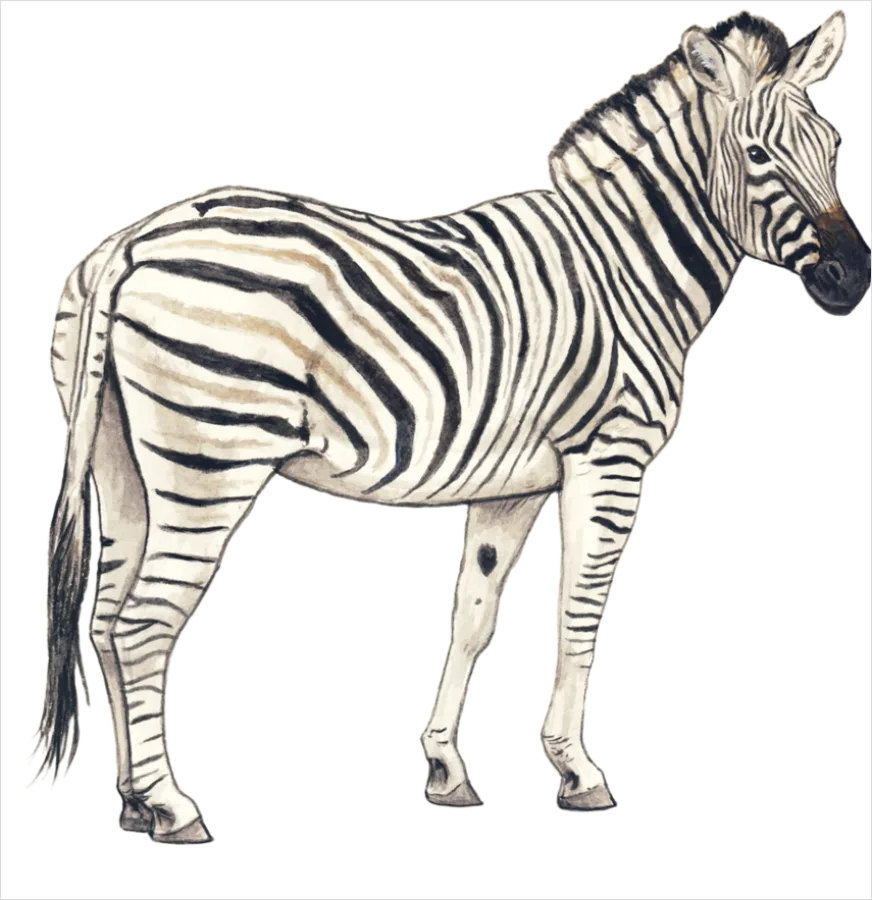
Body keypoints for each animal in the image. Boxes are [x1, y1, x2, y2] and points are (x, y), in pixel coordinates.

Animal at [32, 9, 867, 837]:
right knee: (141, 624)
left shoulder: (512, 484)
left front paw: (446, 770)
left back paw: (134, 802)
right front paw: (579, 774)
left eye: (835, 147)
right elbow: (579, 610)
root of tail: (129, 244)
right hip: (210, 460)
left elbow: (471, 612)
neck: (623, 266)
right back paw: (173, 808)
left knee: (103, 617)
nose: (852, 278)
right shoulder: (607, 456)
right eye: (756, 154)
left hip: (120, 464)